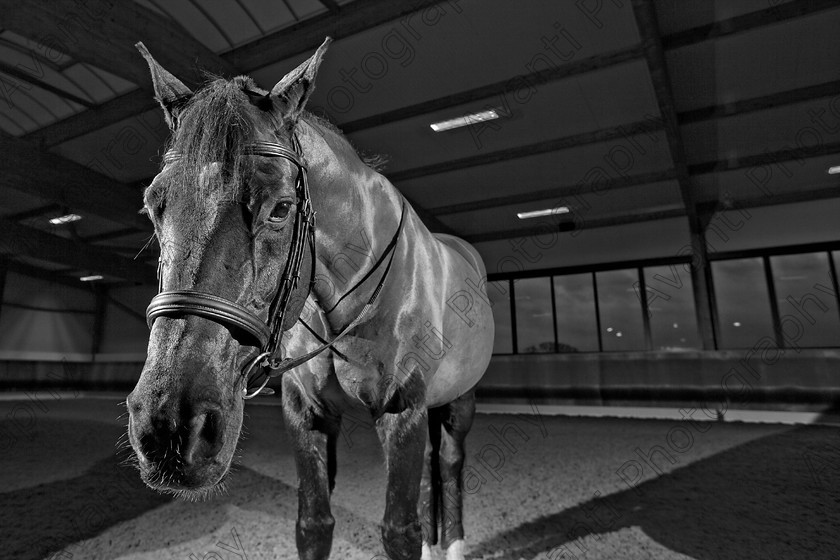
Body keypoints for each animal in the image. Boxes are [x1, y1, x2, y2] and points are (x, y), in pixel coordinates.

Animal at [127, 39, 496, 560]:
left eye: (281, 208)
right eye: (153, 206)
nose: (169, 426)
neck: (344, 300)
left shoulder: (403, 410)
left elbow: (400, 530)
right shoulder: (307, 416)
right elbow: (314, 524)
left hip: (460, 400)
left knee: (449, 463)